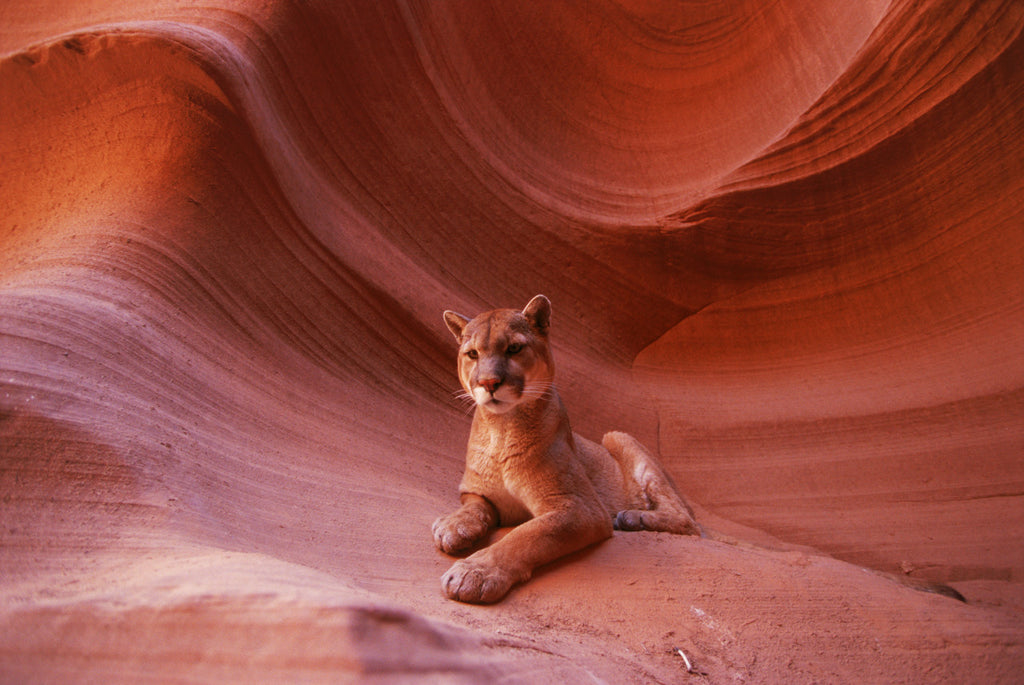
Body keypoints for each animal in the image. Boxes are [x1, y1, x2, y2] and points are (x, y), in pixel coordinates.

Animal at [433, 294, 698, 603]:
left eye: (514, 348)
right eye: (472, 354)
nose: (489, 383)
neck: (502, 427)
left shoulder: (579, 507)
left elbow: (527, 535)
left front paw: (474, 572)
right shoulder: (475, 490)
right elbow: (473, 507)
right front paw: (453, 525)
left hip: (617, 436)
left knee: (687, 520)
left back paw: (633, 516)